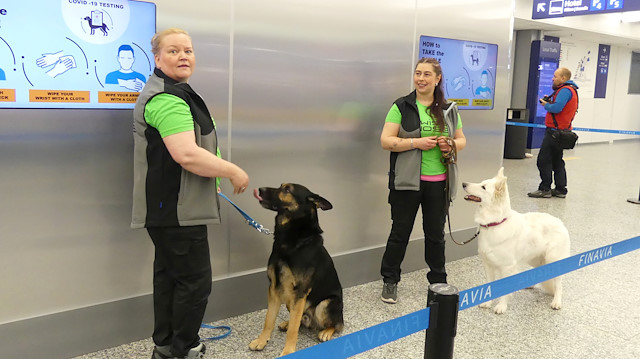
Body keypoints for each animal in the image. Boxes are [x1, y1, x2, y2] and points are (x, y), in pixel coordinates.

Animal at [249, 184, 344, 358]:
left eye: (287, 189)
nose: (259, 189)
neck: (293, 240)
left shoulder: (300, 293)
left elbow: (293, 331)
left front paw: (288, 351)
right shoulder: (274, 289)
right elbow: (269, 320)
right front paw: (262, 340)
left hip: (324, 304)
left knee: (337, 324)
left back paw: (326, 332)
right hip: (290, 301)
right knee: (298, 319)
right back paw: (288, 323)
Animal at [460, 167, 568, 314]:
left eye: (483, 187)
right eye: (481, 183)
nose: (463, 184)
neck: (495, 223)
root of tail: (560, 222)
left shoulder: (507, 267)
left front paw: (501, 306)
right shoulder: (488, 265)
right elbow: (489, 285)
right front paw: (488, 303)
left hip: (553, 260)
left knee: (558, 284)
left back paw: (556, 301)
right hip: (534, 259)